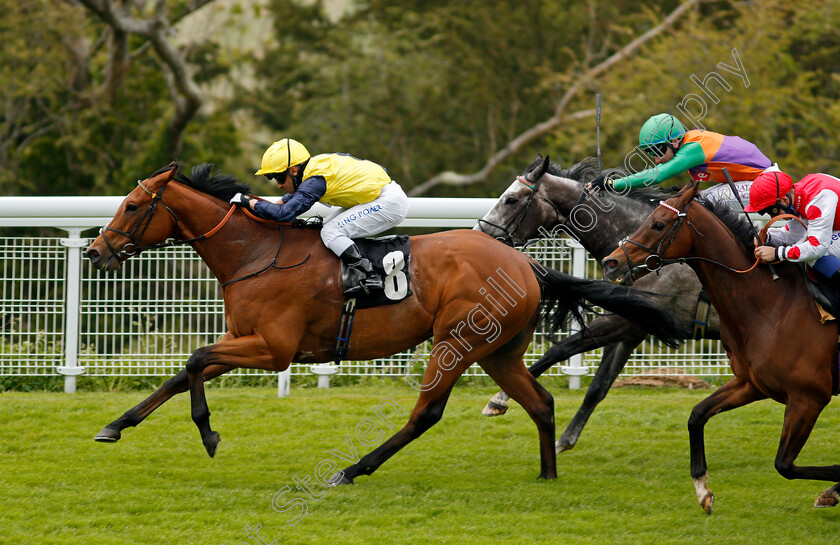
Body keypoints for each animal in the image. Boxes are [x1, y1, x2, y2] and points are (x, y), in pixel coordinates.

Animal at [87, 160, 688, 480]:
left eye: (134, 207)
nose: (96, 251)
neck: (256, 251)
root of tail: (526, 264)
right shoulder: (245, 338)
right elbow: (182, 371)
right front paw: (115, 425)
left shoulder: (273, 348)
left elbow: (193, 360)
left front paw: (209, 434)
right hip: (498, 351)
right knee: (539, 402)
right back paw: (546, 470)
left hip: (456, 342)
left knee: (427, 412)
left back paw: (354, 469)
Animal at [476, 153, 720, 450]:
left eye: (511, 200)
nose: (479, 233)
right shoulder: (632, 326)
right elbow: (598, 386)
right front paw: (565, 439)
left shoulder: (624, 321)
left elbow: (559, 349)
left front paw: (498, 399)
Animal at [600, 181, 840, 512]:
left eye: (658, 223)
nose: (611, 262)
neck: (772, 306)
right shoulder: (752, 384)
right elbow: (697, 415)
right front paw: (703, 490)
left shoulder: (808, 398)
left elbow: (784, 465)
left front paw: (835, 489)